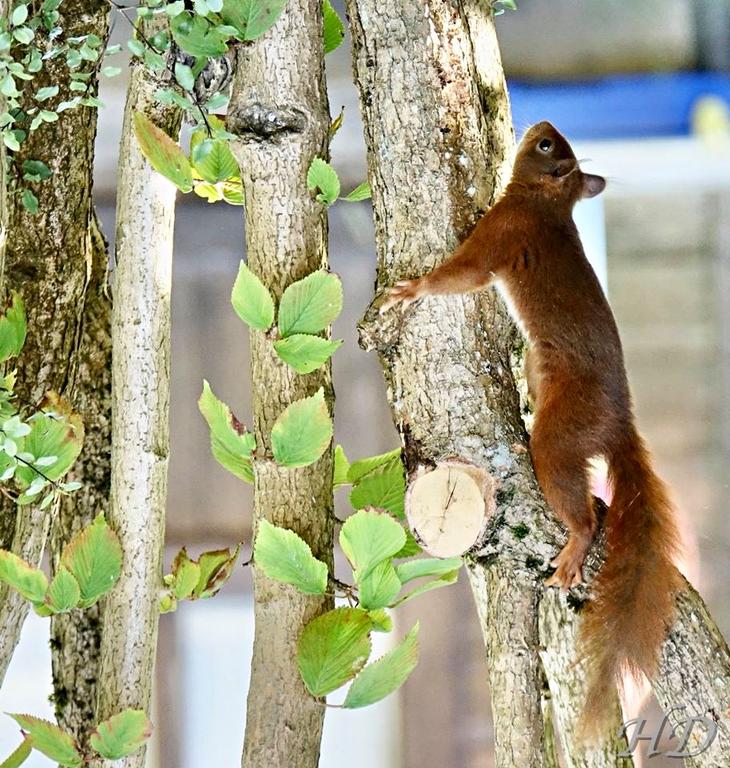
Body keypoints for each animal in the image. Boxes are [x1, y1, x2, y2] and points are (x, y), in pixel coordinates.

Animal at [380, 121, 682, 730]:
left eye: (546, 148)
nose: (538, 126)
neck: (548, 204)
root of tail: (619, 424)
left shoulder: (504, 229)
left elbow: (466, 273)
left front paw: (412, 290)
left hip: (560, 438)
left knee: (581, 508)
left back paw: (572, 549)